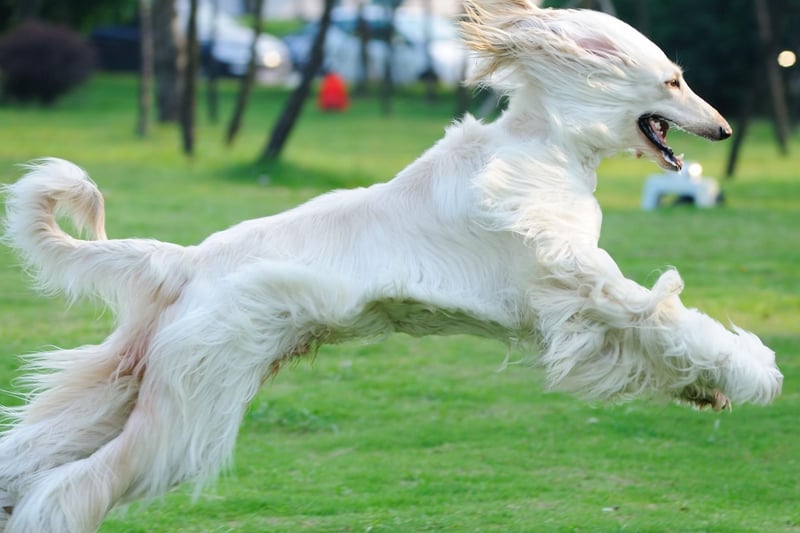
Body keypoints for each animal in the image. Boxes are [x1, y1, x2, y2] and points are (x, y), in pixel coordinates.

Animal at [0, 2, 780, 528]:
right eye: (673, 82)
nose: (724, 129)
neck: (548, 145)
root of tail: (184, 262)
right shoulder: (577, 283)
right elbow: (665, 317)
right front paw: (750, 372)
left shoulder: (570, 302)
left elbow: (656, 335)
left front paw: (704, 388)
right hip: (193, 400)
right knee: (71, 488)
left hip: (132, 378)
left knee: (31, 455)